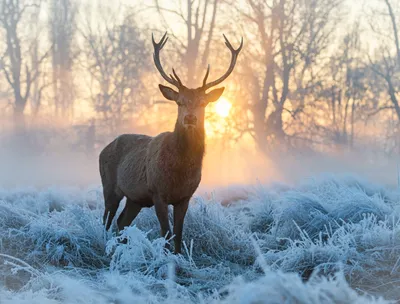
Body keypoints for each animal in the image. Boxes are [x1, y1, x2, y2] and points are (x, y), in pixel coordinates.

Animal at [99, 32, 244, 253]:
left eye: (203, 102)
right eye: (179, 101)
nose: (190, 118)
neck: (180, 170)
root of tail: (103, 149)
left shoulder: (185, 197)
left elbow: (178, 233)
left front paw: (178, 256)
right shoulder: (157, 192)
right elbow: (166, 232)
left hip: (135, 199)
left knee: (122, 221)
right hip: (109, 185)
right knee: (106, 219)